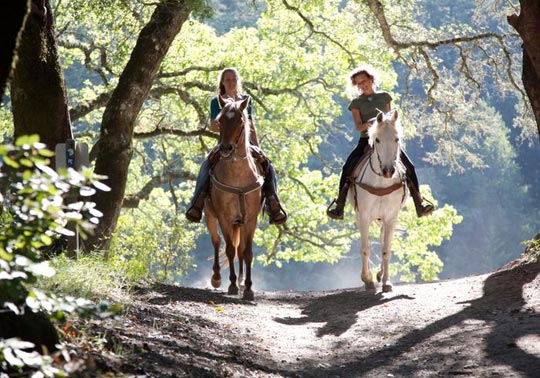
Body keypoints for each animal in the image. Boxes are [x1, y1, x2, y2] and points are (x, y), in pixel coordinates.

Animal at [204, 95, 262, 302]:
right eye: (220, 120)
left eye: (240, 121)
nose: (226, 148)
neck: (238, 177)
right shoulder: (224, 218)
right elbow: (229, 249)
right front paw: (231, 285)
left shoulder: (251, 219)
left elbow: (247, 252)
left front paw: (248, 289)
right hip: (210, 216)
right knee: (216, 241)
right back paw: (217, 278)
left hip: (241, 223)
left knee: (241, 249)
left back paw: (242, 280)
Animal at [350, 109, 410, 292]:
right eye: (377, 140)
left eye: (397, 139)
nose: (388, 171)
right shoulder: (363, 215)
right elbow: (365, 248)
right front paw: (367, 279)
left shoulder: (391, 217)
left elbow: (386, 249)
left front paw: (386, 282)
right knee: (369, 242)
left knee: (383, 239)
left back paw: (380, 274)